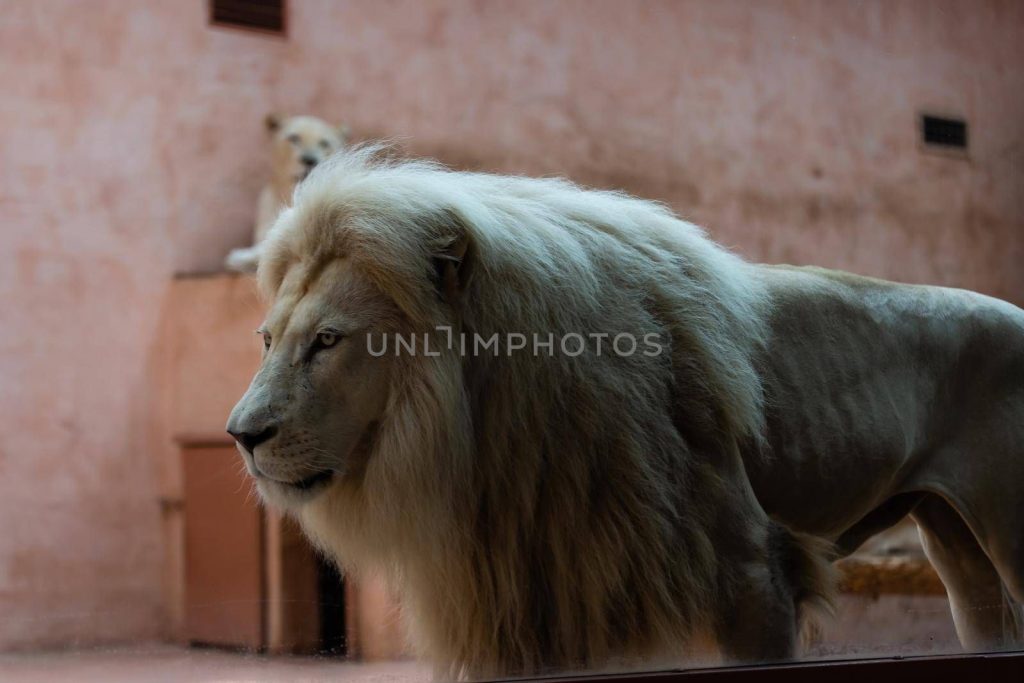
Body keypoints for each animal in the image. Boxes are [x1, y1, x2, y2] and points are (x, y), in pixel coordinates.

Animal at [227, 146, 1024, 678]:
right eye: (267, 339)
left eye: (328, 341)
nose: (241, 435)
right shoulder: (531, 595)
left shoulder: (753, 573)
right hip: (959, 555)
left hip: (1006, 532)